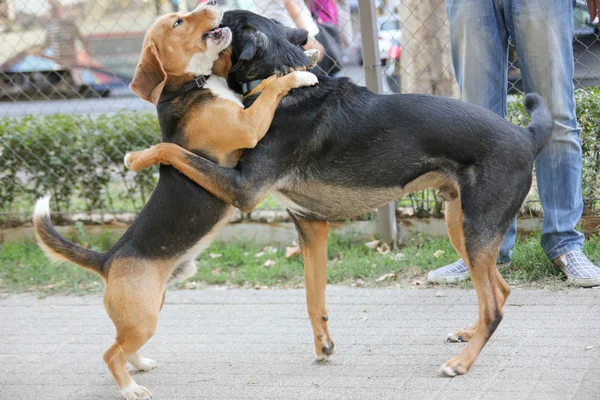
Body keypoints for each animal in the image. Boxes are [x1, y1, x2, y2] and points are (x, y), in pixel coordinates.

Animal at [34, 3, 318, 400]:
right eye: (179, 21)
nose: (212, 4)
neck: (192, 86)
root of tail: (107, 259)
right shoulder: (248, 125)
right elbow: (271, 87)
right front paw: (299, 77)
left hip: (150, 309)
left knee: (121, 345)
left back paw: (139, 365)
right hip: (144, 318)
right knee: (110, 353)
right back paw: (131, 388)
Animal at [125, 10, 552, 378]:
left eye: (223, 23)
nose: (209, 9)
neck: (278, 77)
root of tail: (527, 136)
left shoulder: (243, 190)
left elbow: (173, 149)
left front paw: (139, 156)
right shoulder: (310, 225)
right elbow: (313, 298)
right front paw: (324, 346)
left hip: (476, 228)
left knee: (493, 305)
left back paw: (461, 364)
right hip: (460, 225)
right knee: (500, 289)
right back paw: (468, 334)